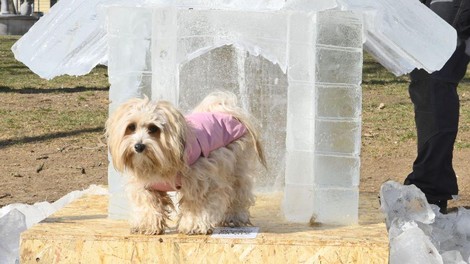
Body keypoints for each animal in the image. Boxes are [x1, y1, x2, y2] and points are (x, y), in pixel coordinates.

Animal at [107, 91, 268, 235]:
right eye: (131, 127)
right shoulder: (145, 186)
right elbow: (148, 205)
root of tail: (227, 111)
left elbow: (196, 205)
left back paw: (233, 217)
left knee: (238, 193)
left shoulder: (201, 181)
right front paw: (146, 225)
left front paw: (194, 226)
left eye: (153, 128)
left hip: (236, 167)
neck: (160, 163)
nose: (139, 146)